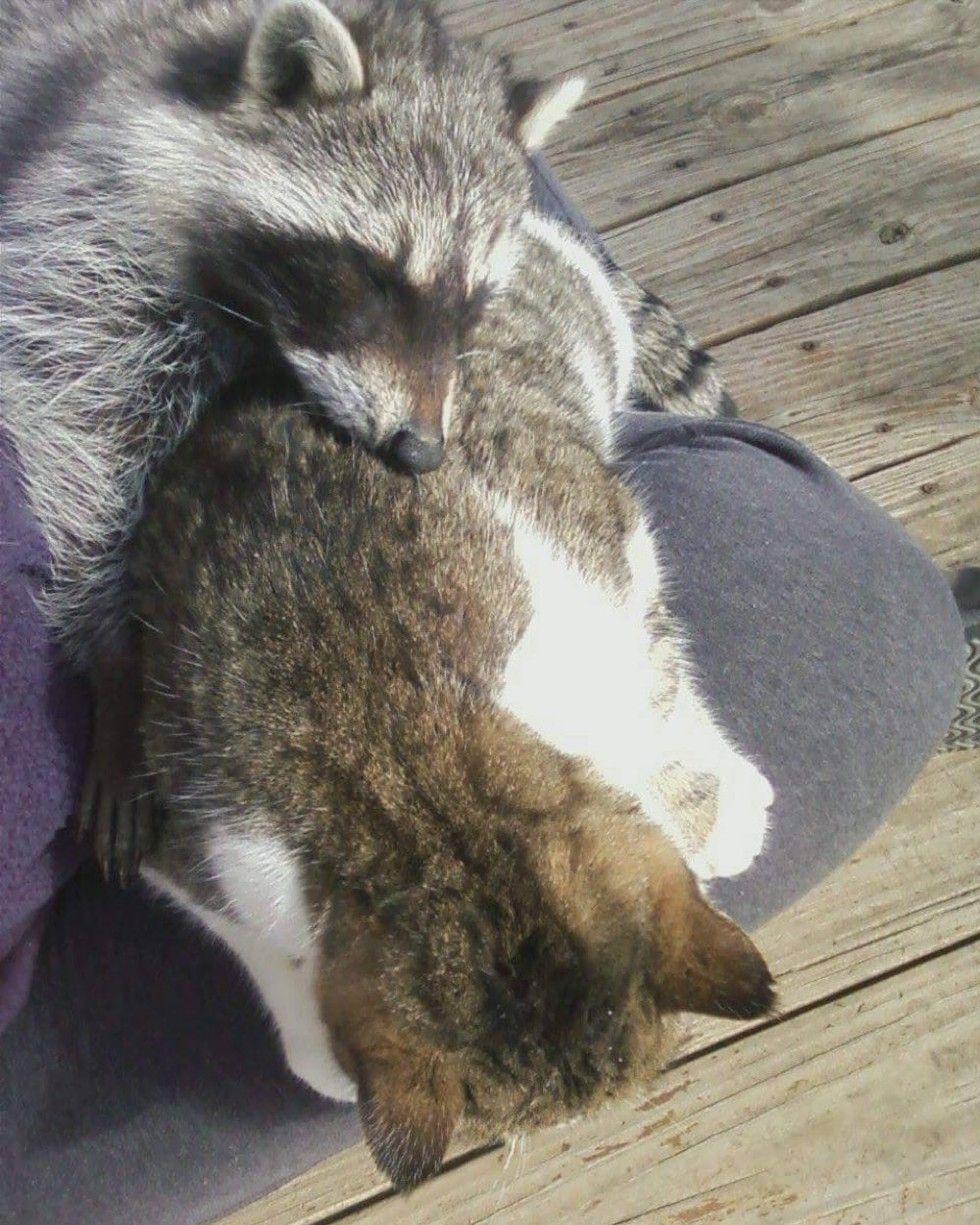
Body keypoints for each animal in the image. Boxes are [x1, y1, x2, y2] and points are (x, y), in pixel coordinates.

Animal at [132, 210, 774, 1185]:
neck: (398, 759)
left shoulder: (603, 543)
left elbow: (656, 685)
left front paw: (710, 807)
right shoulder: (182, 827)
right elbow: (245, 935)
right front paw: (310, 1037)